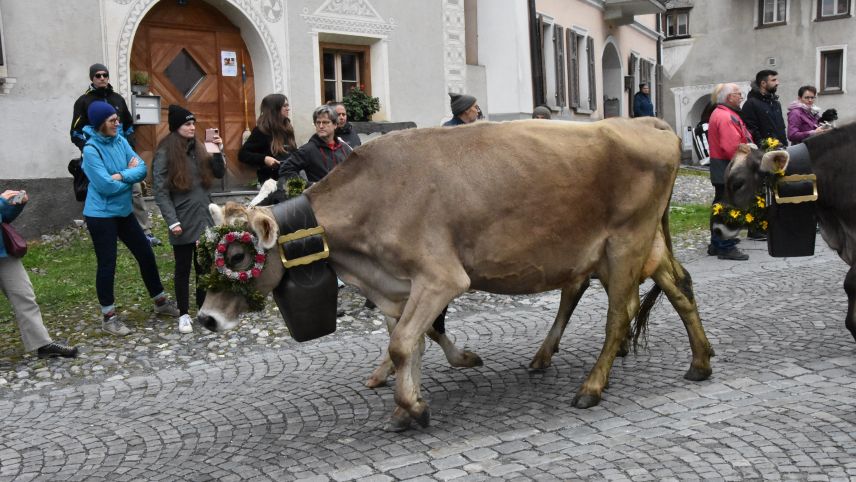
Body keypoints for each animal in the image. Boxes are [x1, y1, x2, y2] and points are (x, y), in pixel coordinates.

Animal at [196, 118, 716, 432]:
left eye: (236, 256)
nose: (205, 319)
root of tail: (645, 122)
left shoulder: (441, 277)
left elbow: (402, 343)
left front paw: (413, 407)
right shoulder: (398, 286)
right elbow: (413, 343)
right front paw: (408, 402)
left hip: (626, 244)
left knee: (617, 316)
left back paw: (591, 387)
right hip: (632, 247)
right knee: (678, 287)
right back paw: (699, 362)